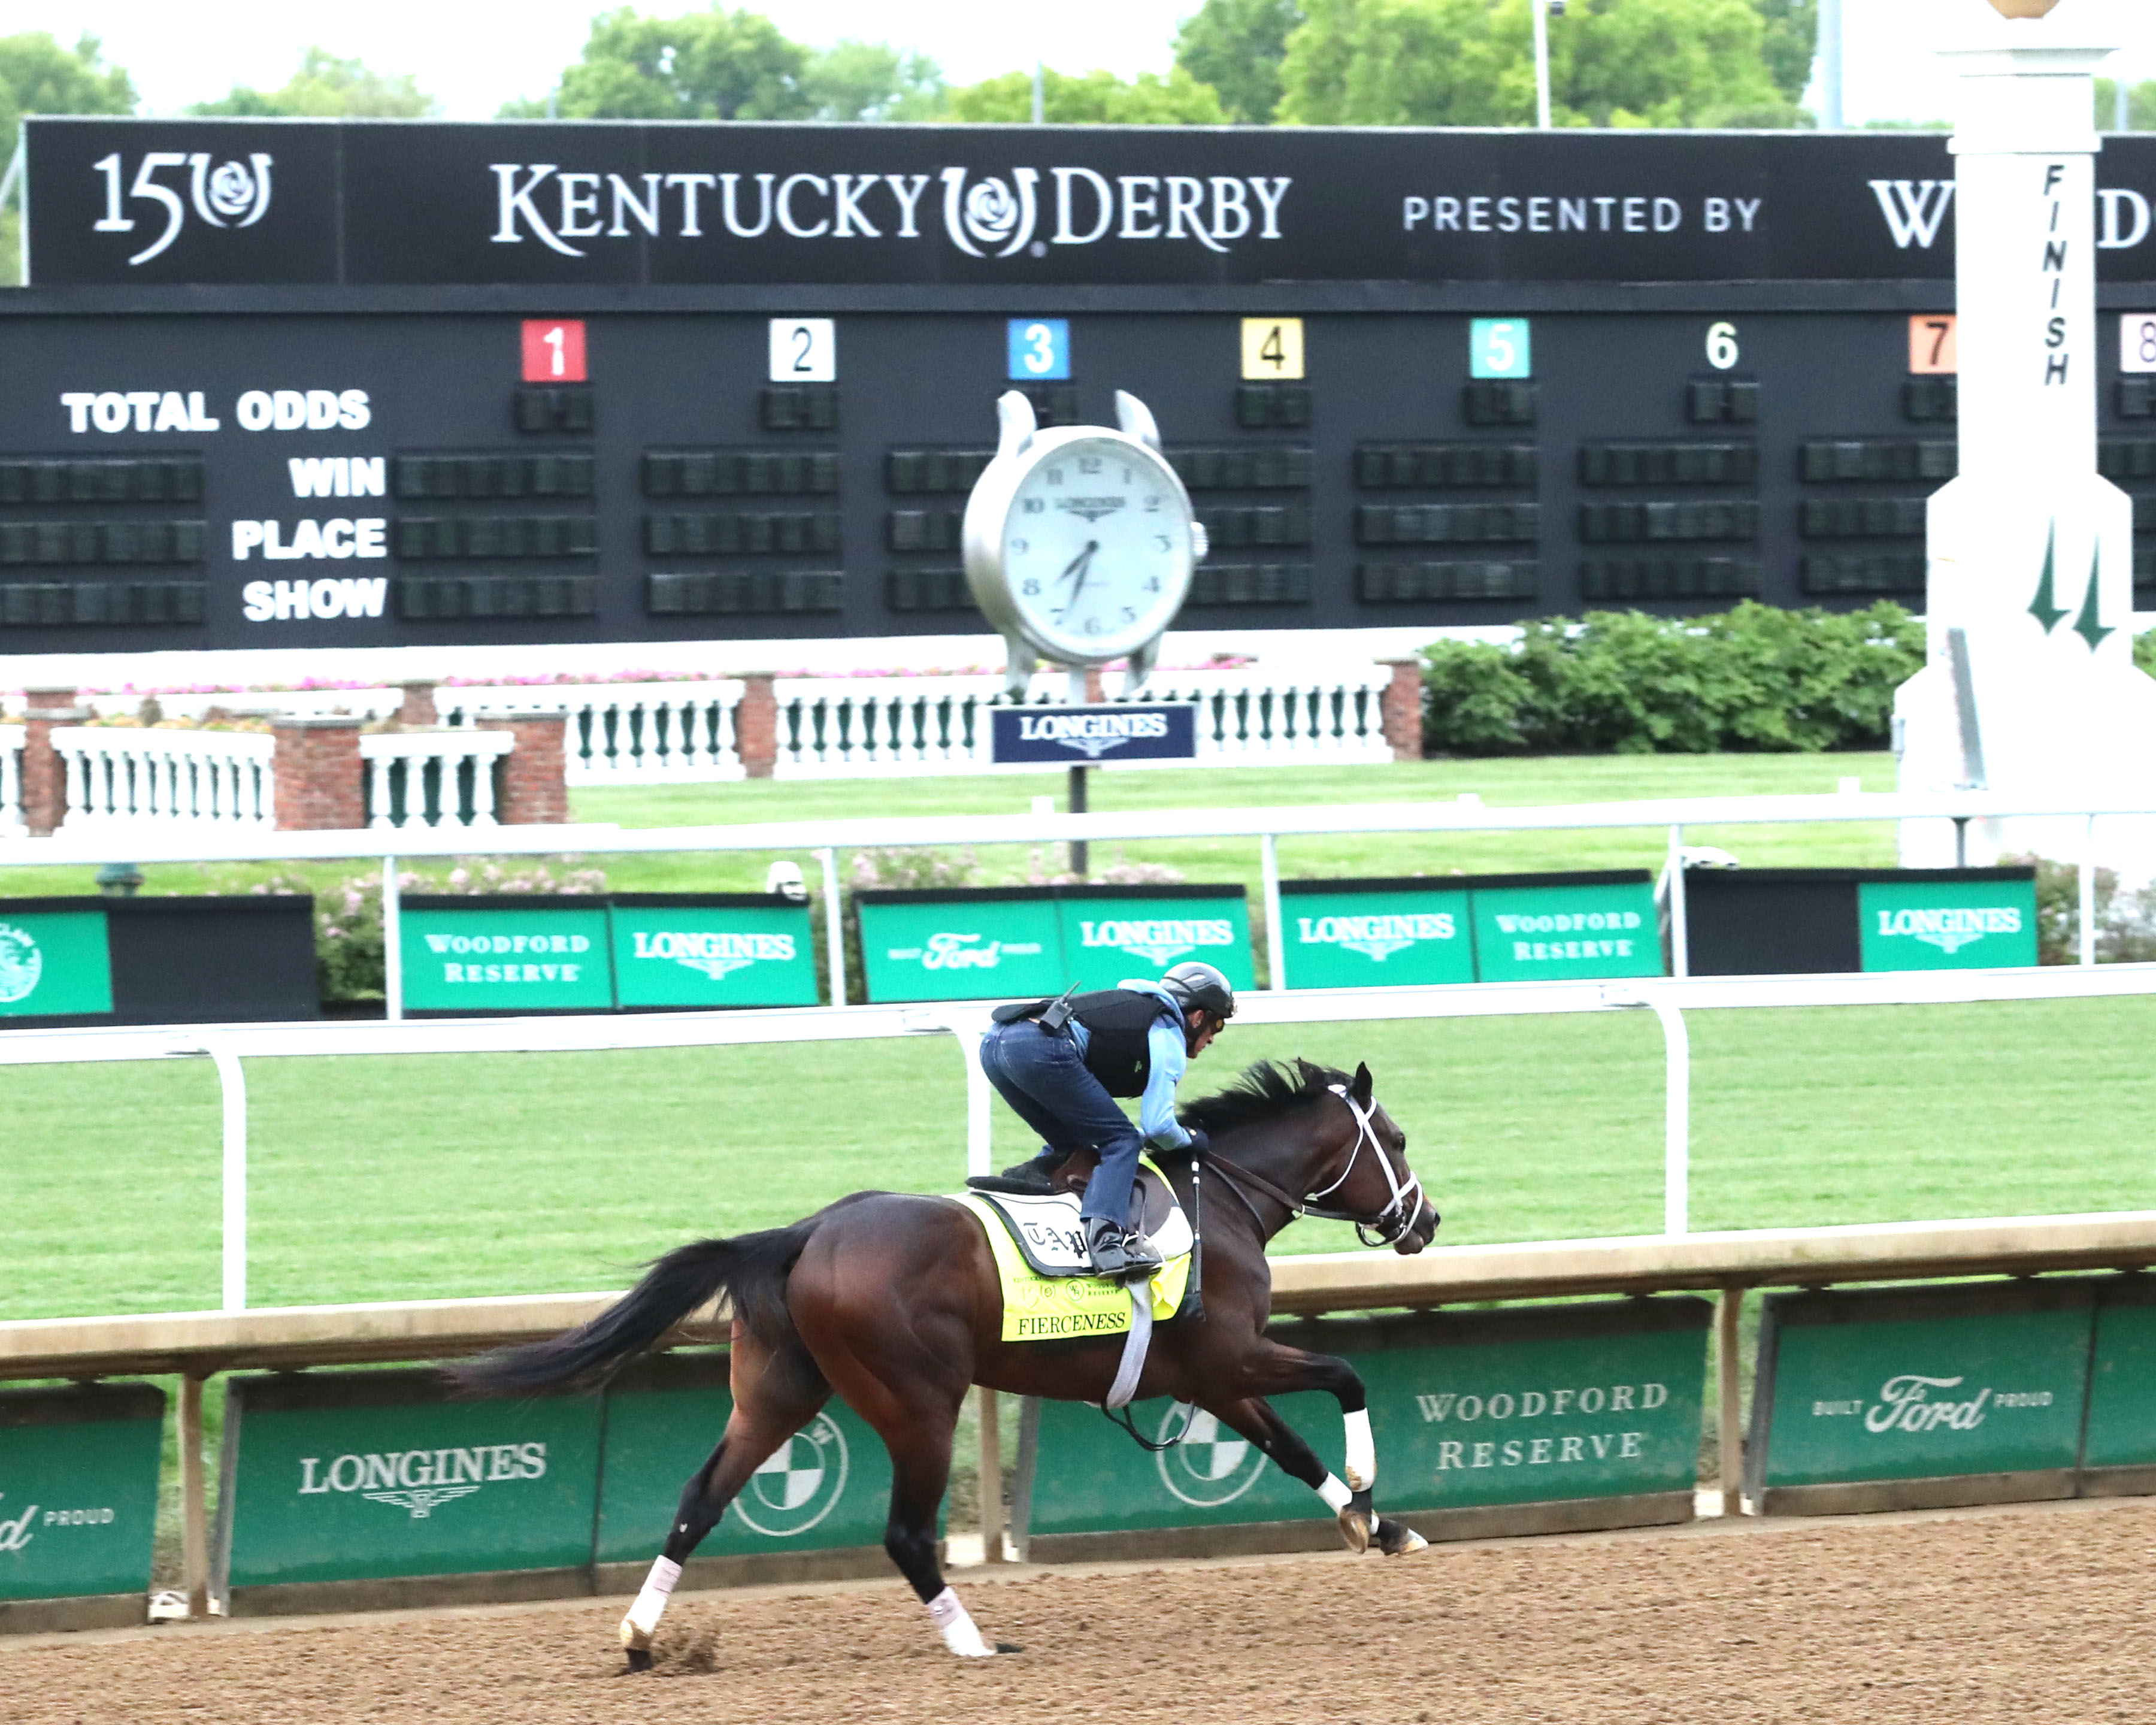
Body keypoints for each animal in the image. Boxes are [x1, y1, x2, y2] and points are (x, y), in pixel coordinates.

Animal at [461, 1057, 1440, 1665]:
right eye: (1393, 1140)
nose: (1426, 1221)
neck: (1219, 1202)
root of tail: (806, 1232)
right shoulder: (1233, 1357)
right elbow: (1345, 1380)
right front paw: (1368, 1492)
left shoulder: (1207, 1377)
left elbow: (1292, 1450)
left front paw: (1378, 1526)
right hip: (920, 1403)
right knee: (904, 1533)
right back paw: (973, 1641)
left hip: (776, 1394)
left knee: (700, 1501)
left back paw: (638, 1638)